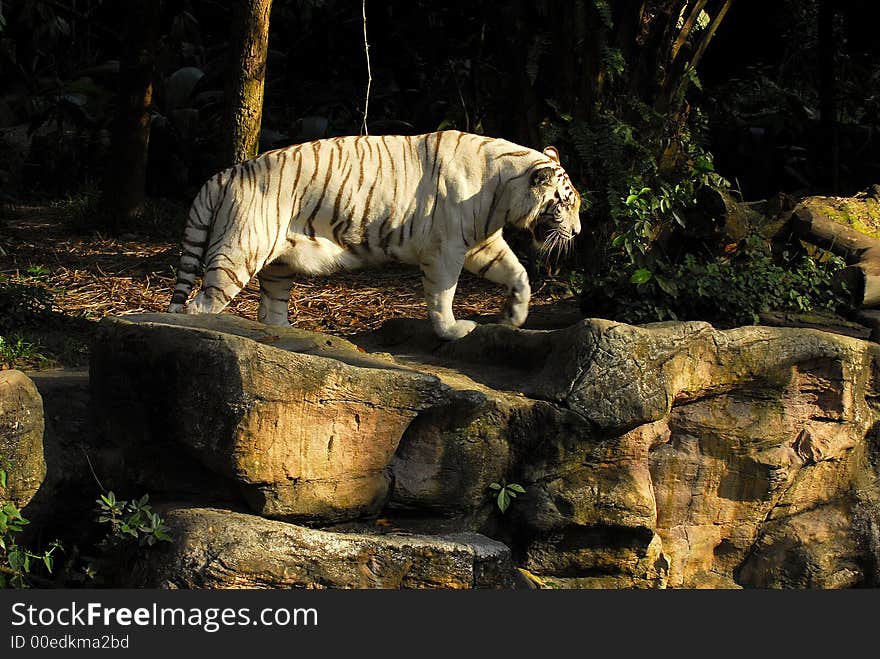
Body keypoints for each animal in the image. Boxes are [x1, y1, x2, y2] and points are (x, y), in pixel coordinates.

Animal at [168, 130, 580, 340]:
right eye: (565, 203)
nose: (577, 231)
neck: (503, 191)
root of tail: (225, 174)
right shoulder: (446, 249)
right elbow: (442, 296)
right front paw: (454, 330)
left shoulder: (482, 243)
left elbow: (518, 273)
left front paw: (514, 317)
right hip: (240, 252)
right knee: (199, 305)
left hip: (279, 263)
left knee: (270, 309)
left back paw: (294, 335)